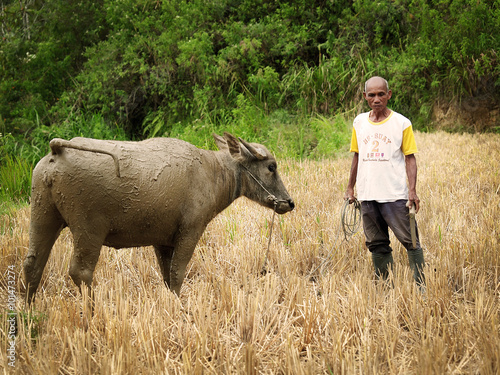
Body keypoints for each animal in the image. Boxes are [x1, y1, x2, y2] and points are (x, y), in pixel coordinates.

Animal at [24, 132, 292, 302]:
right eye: (271, 167)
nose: (289, 203)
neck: (213, 173)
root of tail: (56, 150)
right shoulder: (190, 231)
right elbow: (177, 273)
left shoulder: (162, 241)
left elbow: (166, 276)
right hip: (88, 230)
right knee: (80, 272)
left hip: (43, 216)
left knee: (32, 265)